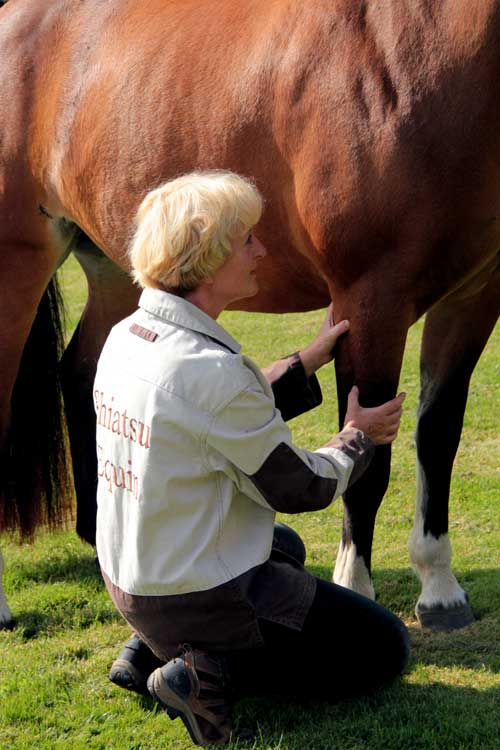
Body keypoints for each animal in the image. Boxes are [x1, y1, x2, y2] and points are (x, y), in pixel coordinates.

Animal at [0, 0, 500, 636]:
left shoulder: (473, 298)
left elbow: (437, 436)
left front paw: (439, 588)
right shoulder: (371, 303)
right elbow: (368, 462)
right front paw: (356, 588)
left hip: (114, 266)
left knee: (82, 371)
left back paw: (103, 544)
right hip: (14, 269)